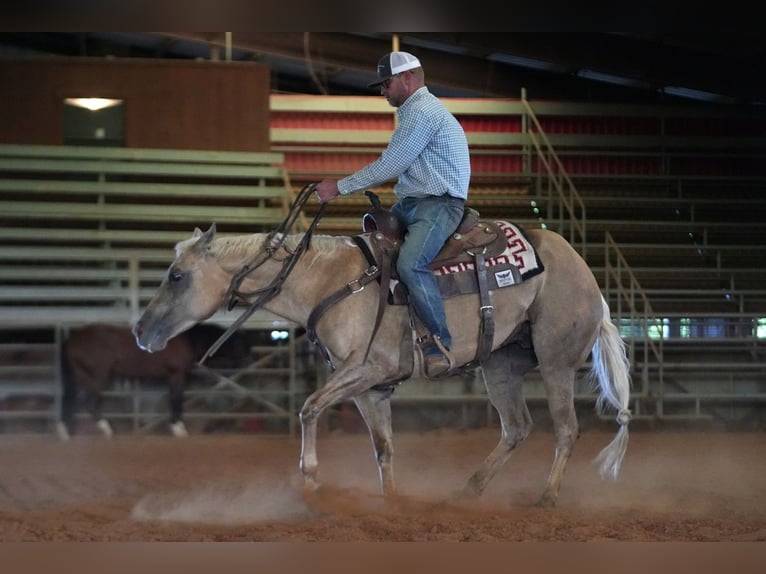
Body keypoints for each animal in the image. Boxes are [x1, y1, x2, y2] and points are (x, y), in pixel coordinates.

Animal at [60, 324, 252, 440]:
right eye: (239, 343)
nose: (247, 362)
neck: (186, 339)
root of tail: (72, 339)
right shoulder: (176, 374)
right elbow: (176, 399)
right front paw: (178, 429)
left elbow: (174, 399)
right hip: (98, 374)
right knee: (88, 400)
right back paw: (106, 429)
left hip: (81, 375)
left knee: (72, 400)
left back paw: (66, 432)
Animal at [135, 210, 632, 508]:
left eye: (176, 276)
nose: (140, 331)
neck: (327, 280)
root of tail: (587, 275)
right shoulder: (369, 388)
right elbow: (383, 447)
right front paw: (391, 503)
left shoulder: (367, 368)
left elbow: (308, 407)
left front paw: (310, 478)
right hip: (500, 364)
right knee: (516, 428)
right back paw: (469, 490)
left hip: (554, 361)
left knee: (565, 429)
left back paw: (547, 498)